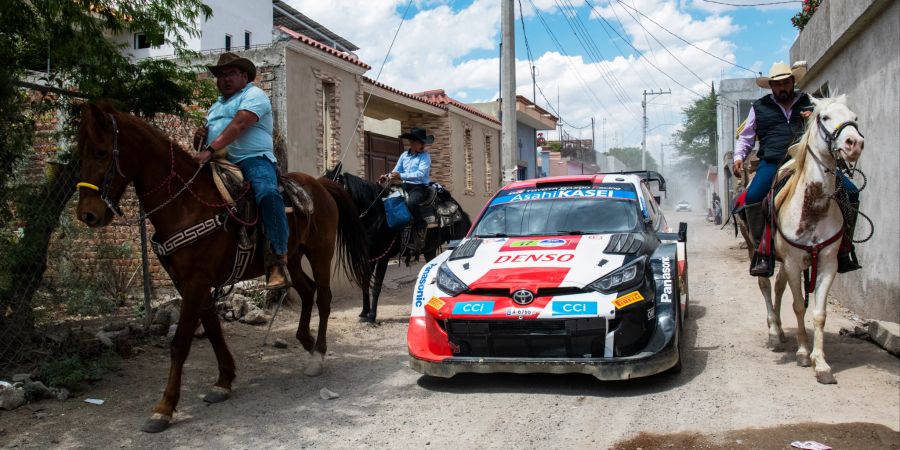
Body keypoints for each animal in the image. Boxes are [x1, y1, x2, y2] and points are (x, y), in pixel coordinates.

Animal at [74, 103, 370, 432]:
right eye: (78, 155)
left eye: (101, 152)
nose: (87, 214)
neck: (185, 204)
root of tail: (320, 184)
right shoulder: (189, 283)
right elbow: (214, 331)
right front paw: (223, 381)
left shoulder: (197, 281)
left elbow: (180, 343)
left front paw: (164, 408)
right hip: (290, 255)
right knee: (306, 291)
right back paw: (305, 340)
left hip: (320, 252)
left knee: (324, 297)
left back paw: (318, 354)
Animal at [744, 95, 864, 384]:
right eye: (824, 117)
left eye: (854, 117)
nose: (854, 144)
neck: (814, 206)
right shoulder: (793, 261)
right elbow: (799, 306)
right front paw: (802, 353)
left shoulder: (827, 262)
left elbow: (819, 314)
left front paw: (820, 363)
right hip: (760, 251)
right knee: (766, 286)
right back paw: (773, 333)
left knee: (778, 287)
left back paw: (779, 330)